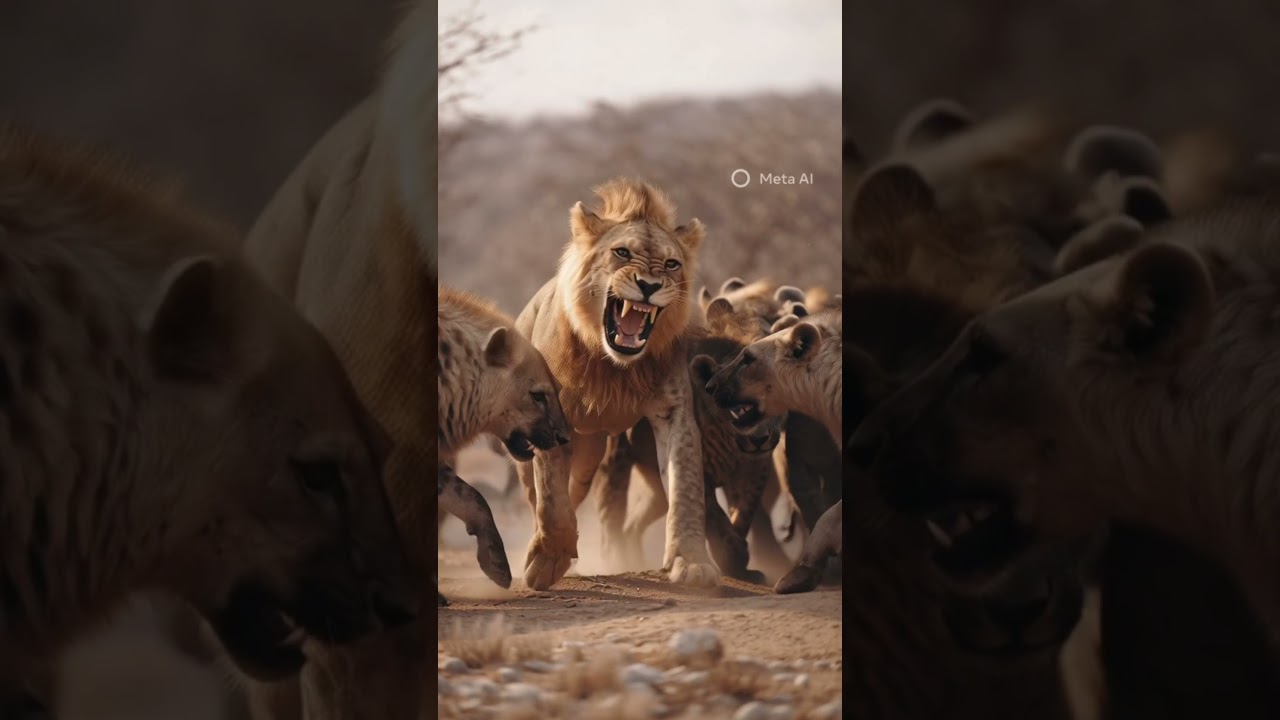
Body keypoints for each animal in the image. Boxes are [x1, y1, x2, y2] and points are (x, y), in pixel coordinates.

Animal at [514, 176, 719, 591]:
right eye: (622, 253)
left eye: (672, 264)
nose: (649, 285)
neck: (615, 366)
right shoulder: (550, 419)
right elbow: (551, 502)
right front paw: (548, 562)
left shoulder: (674, 413)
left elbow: (686, 487)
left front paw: (691, 562)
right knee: (538, 495)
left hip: (589, 456)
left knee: (574, 491)